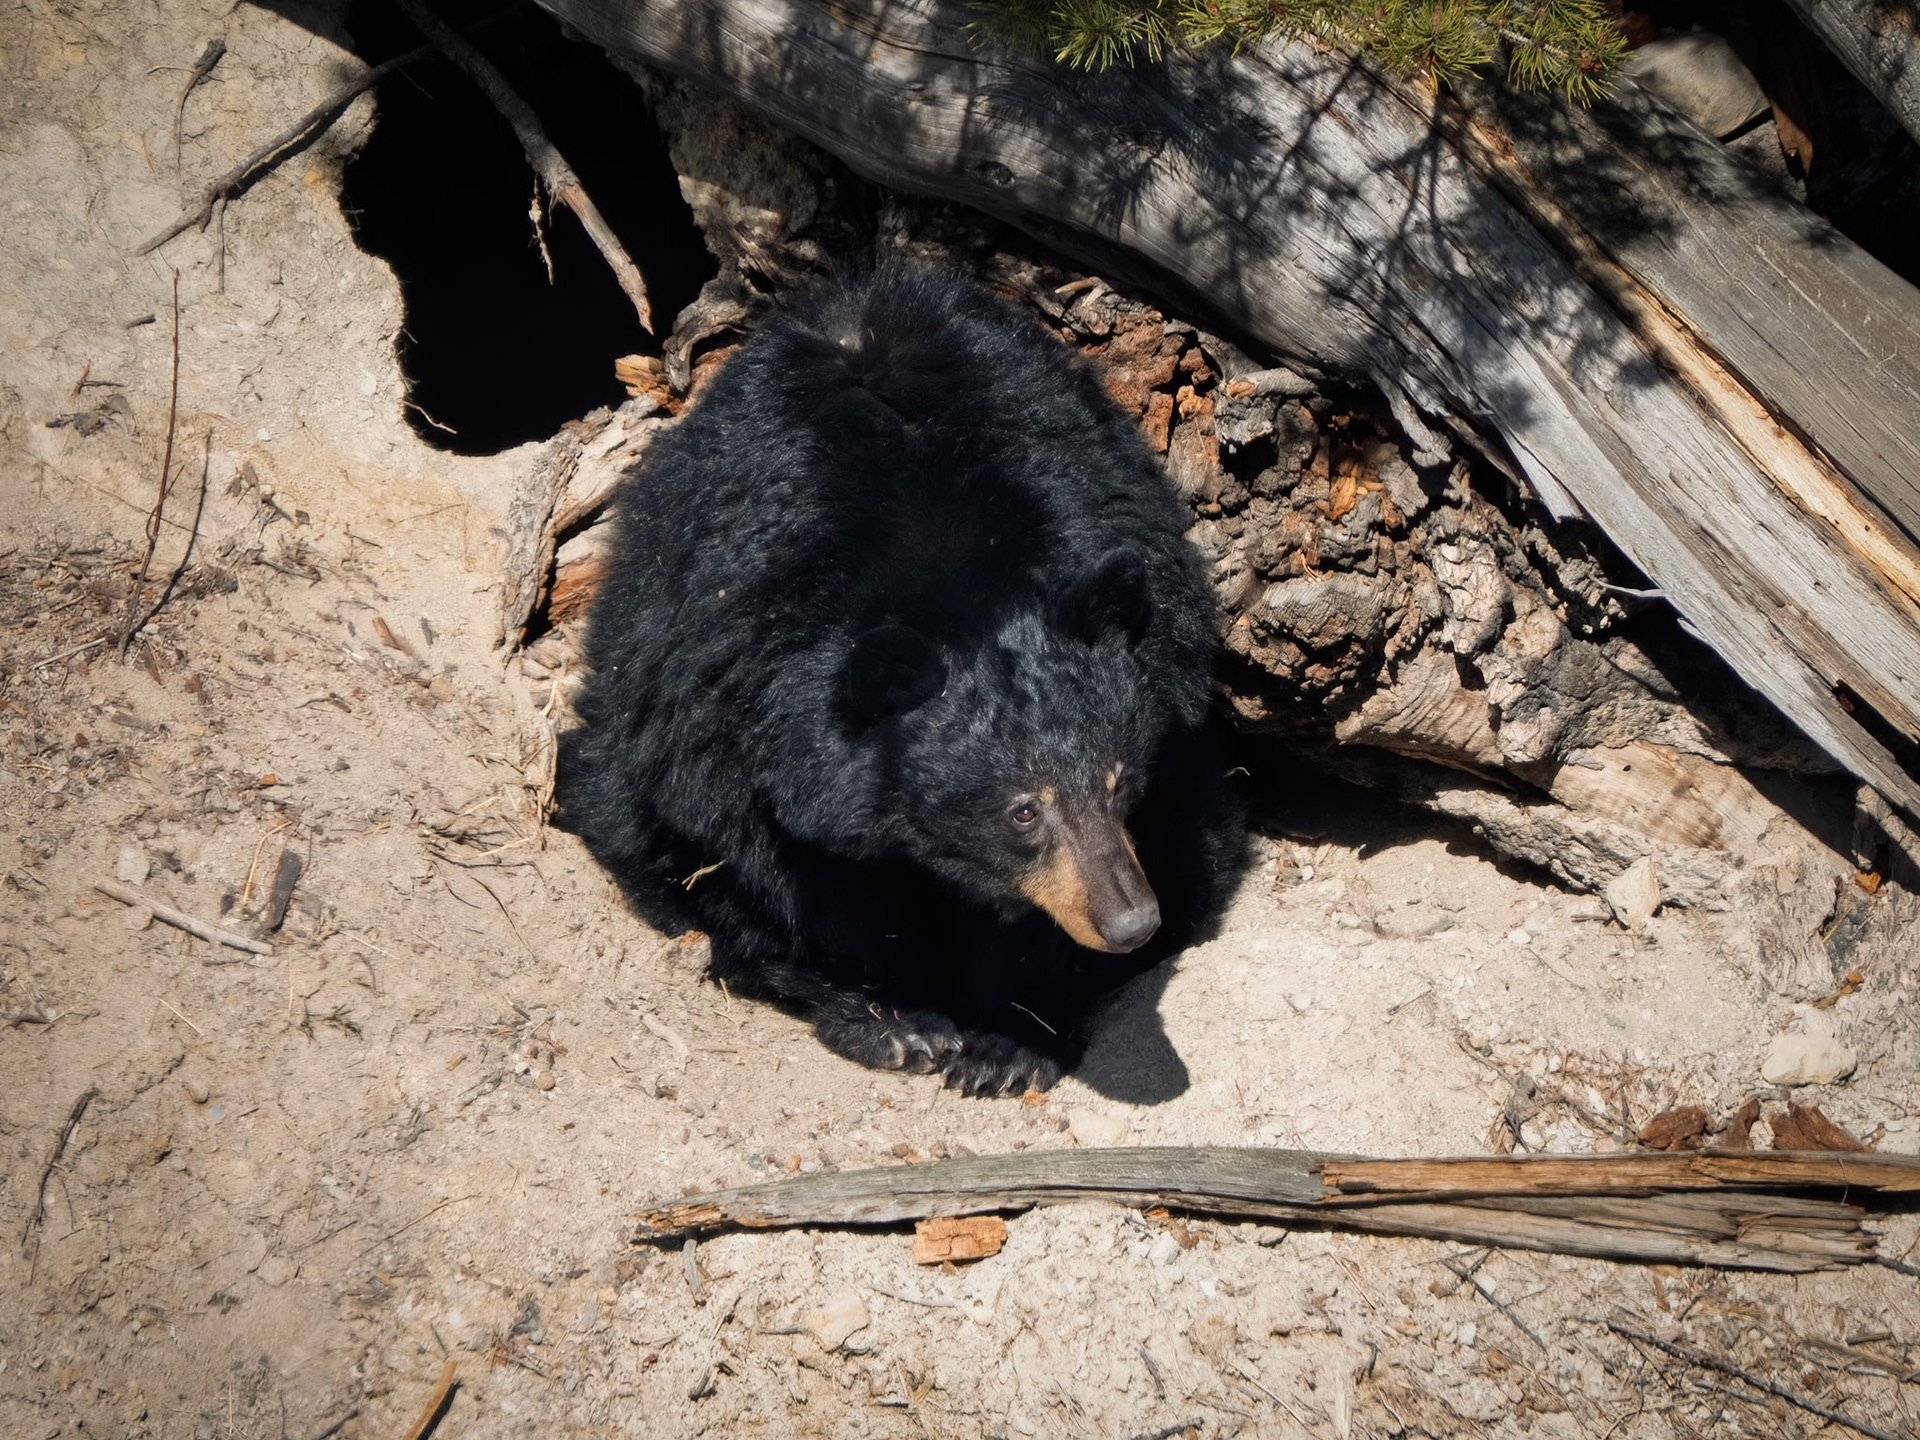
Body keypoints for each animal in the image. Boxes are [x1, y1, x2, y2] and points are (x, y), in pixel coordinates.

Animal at [558, 266, 1242, 1095]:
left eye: (1118, 782)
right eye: (1023, 811)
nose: (1130, 922)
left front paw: (1013, 1037)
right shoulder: (721, 691)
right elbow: (785, 868)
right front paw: (897, 1022)